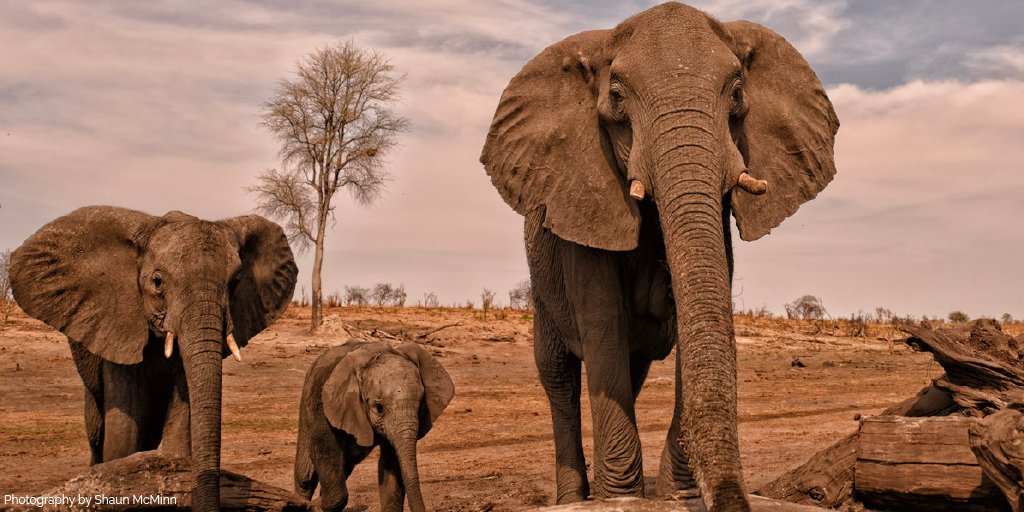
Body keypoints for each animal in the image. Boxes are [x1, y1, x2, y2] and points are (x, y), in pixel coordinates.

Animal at [9, 206, 298, 511]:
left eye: (236, 284)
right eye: (157, 283)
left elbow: (179, 431)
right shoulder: (118, 325)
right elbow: (123, 432)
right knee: (97, 431)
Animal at [294, 340, 455, 512]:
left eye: (420, 405)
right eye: (379, 407)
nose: (313, 504)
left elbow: (391, 465)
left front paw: (316, 504)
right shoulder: (324, 405)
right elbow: (326, 451)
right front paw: (314, 505)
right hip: (307, 401)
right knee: (306, 475)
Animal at [480, 3, 838, 511]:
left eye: (737, 93)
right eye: (616, 97)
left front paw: (676, 492)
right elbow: (603, 319)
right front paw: (620, 498)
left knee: (631, 370)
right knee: (558, 375)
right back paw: (575, 495)